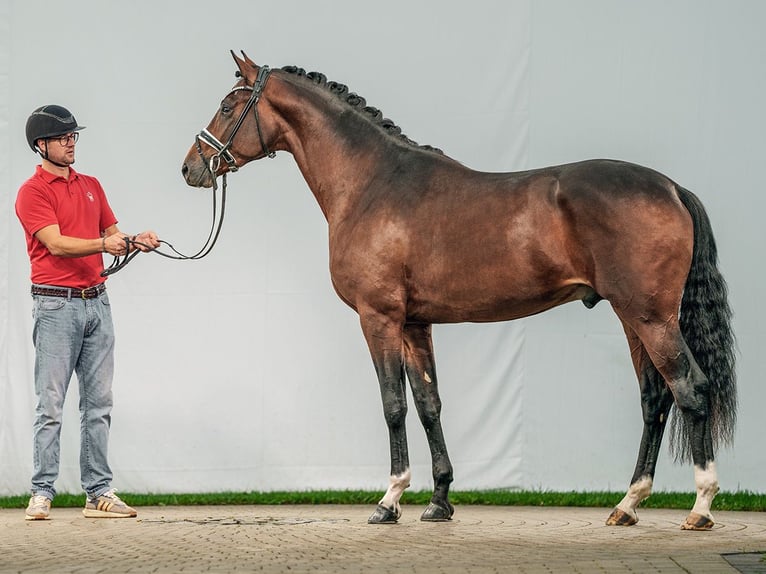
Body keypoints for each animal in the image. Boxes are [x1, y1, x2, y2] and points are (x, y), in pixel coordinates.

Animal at [182, 53, 736, 532]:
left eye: (228, 106)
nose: (191, 167)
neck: (373, 183)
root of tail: (671, 188)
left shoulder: (378, 318)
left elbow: (393, 404)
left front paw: (389, 500)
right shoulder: (414, 323)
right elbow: (430, 404)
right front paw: (439, 501)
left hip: (650, 318)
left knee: (691, 389)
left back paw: (701, 506)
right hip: (632, 319)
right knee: (654, 399)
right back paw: (628, 504)